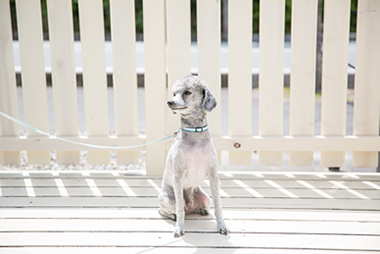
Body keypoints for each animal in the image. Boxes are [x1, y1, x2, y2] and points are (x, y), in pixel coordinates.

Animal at [157, 75, 229, 238]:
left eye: (187, 92)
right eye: (174, 93)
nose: (170, 102)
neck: (195, 132)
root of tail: (190, 207)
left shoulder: (214, 176)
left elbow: (219, 205)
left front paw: (221, 226)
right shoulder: (178, 177)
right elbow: (179, 209)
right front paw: (179, 227)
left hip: (205, 197)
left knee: (200, 207)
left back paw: (201, 210)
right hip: (168, 200)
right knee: (167, 210)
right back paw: (173, 216)